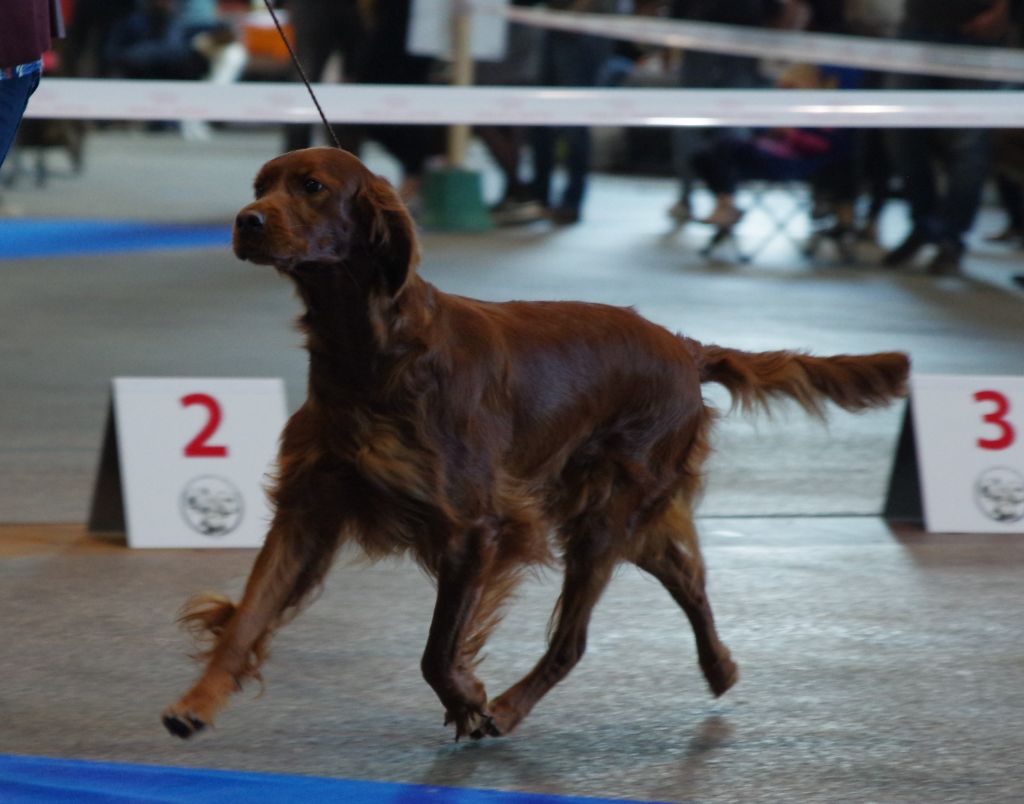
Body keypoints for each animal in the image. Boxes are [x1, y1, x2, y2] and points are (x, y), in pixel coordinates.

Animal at [161, 145, 913, 741]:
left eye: (312, 186)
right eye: (261, 183)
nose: (247, 221)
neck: (372, 352)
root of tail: (685, 347)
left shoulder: (477, 528)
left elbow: (436, 650)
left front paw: (469, 698)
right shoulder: (311, 507)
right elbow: (248, 616)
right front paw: (196, 703)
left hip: (604, 513)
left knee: (573, 640)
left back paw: (512, 708)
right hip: (616, 514)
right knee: (687, 577)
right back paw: (720, 665)